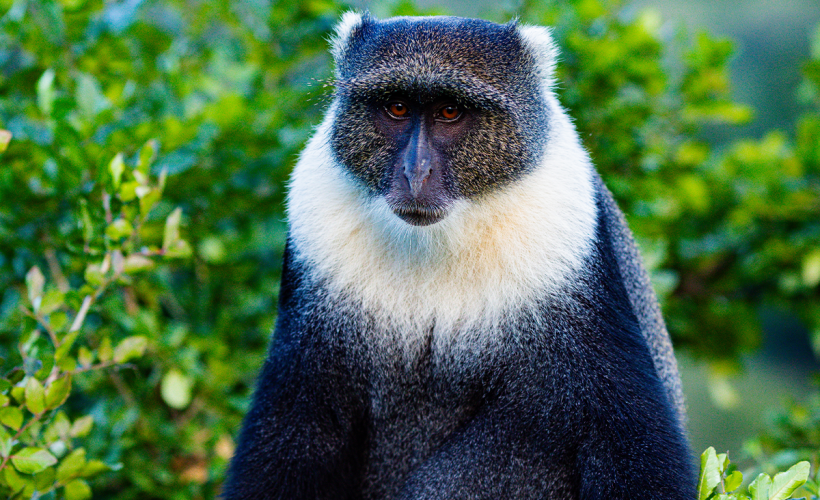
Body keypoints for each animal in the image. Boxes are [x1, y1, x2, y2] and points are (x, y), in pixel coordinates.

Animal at [223, 13, 696, 500]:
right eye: (397, 107)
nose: (416, 173)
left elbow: (627, 438)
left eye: (450, 110)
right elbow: (295, 426)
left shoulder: (570, 247)